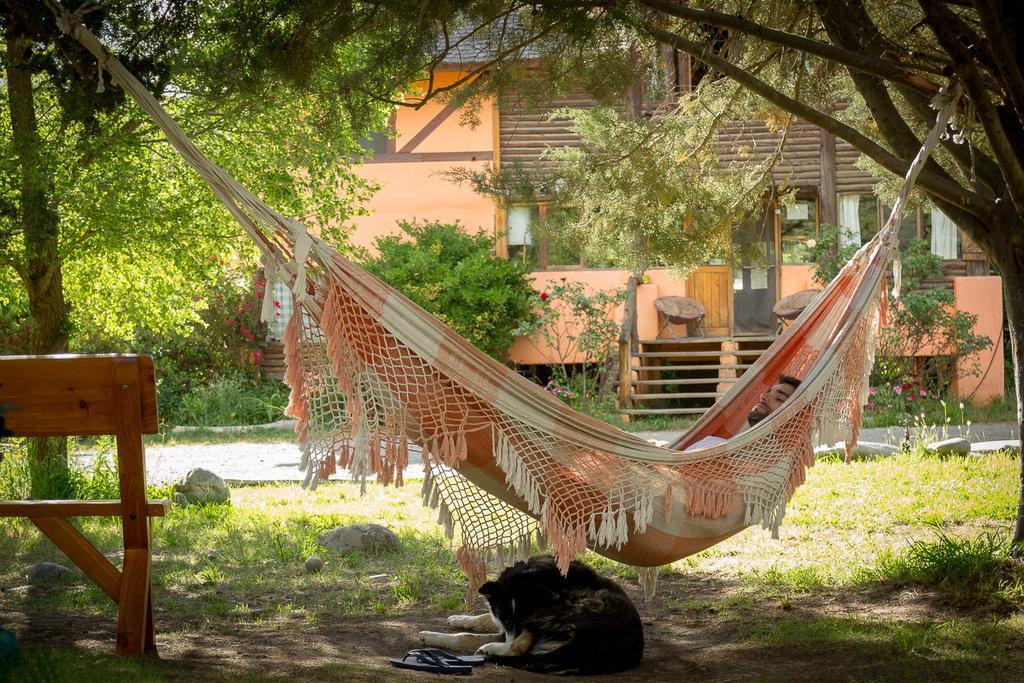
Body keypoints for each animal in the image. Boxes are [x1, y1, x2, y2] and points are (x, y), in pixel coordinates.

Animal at [417, 557, 638, 675]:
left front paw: (430, 635)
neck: (533, 574)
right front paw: (460, 619)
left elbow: (466, 637)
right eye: (506, 619)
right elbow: (486, 617)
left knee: (518, 649)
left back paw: (491, 648)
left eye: (519, 621)